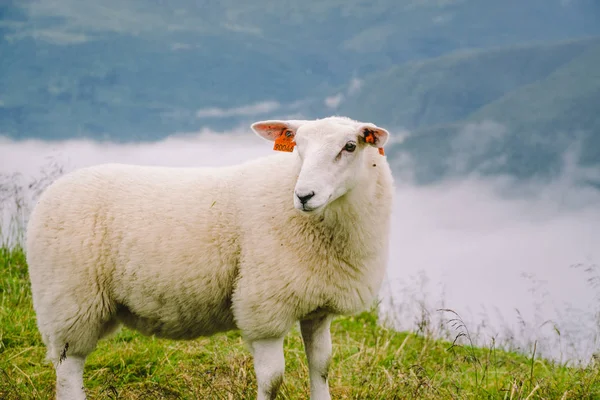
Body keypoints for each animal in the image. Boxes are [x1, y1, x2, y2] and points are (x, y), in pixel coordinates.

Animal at [25, 115, 396, 400]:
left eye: (350, 147)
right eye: (298, 148)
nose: (304, 195)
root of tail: (50, 193)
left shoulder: (318, 307)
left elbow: (321, 367)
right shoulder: (263, 307)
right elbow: (272, 379)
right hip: (69, 299)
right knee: (68, 367)